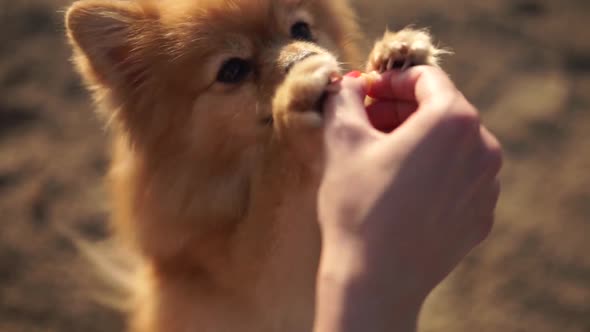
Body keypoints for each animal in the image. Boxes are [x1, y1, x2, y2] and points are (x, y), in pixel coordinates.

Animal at [65, 1, 444, 330]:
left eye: (301, 29)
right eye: (233, 70)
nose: (307, 55)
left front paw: (396, 50)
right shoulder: (264, 287)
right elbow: (277, 194)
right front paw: (295, 99)